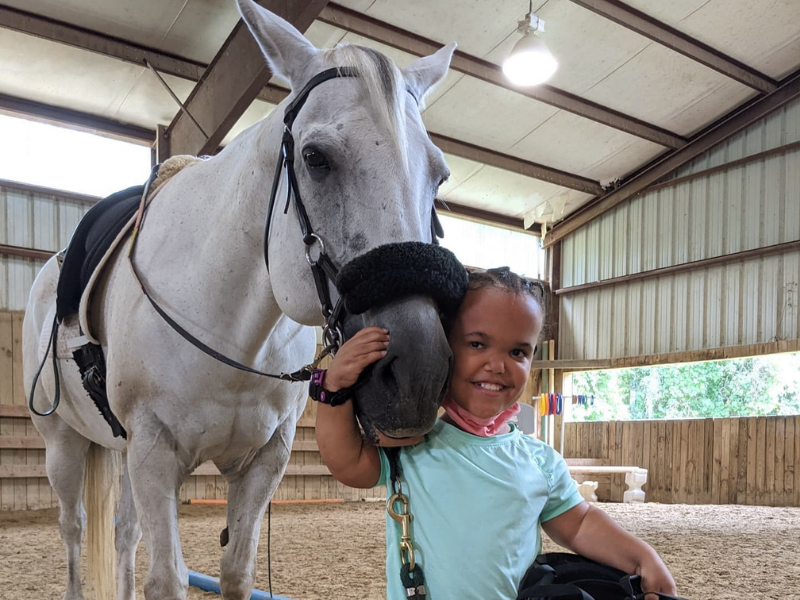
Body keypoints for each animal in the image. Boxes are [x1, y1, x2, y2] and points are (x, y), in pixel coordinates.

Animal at [21, 1, 456, 600]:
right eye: (315, 157)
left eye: (439, 175)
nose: (417, 374)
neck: (230, 328)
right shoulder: (154, 453)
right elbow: (167, 577)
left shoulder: (262, 462)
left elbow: (235, 571)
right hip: (63, 443)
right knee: (73, 530)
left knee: (124, 532)